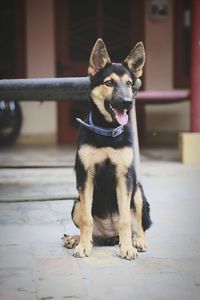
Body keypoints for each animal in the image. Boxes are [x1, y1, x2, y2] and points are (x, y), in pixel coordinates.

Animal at [62, 38, 152, 260]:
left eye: (129, 84)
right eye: (109, 83)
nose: (127, 103)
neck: (107, 131)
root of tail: (110, 236)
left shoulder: (124, 178)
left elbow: (126, 220)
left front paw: (127, 248)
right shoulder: (86, 177)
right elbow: (86, 220)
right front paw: (83, 247)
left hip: (137, 192)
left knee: (139, 226)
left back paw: (137, 241)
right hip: (76, 202)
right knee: (90, 230)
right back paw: (77, 239)